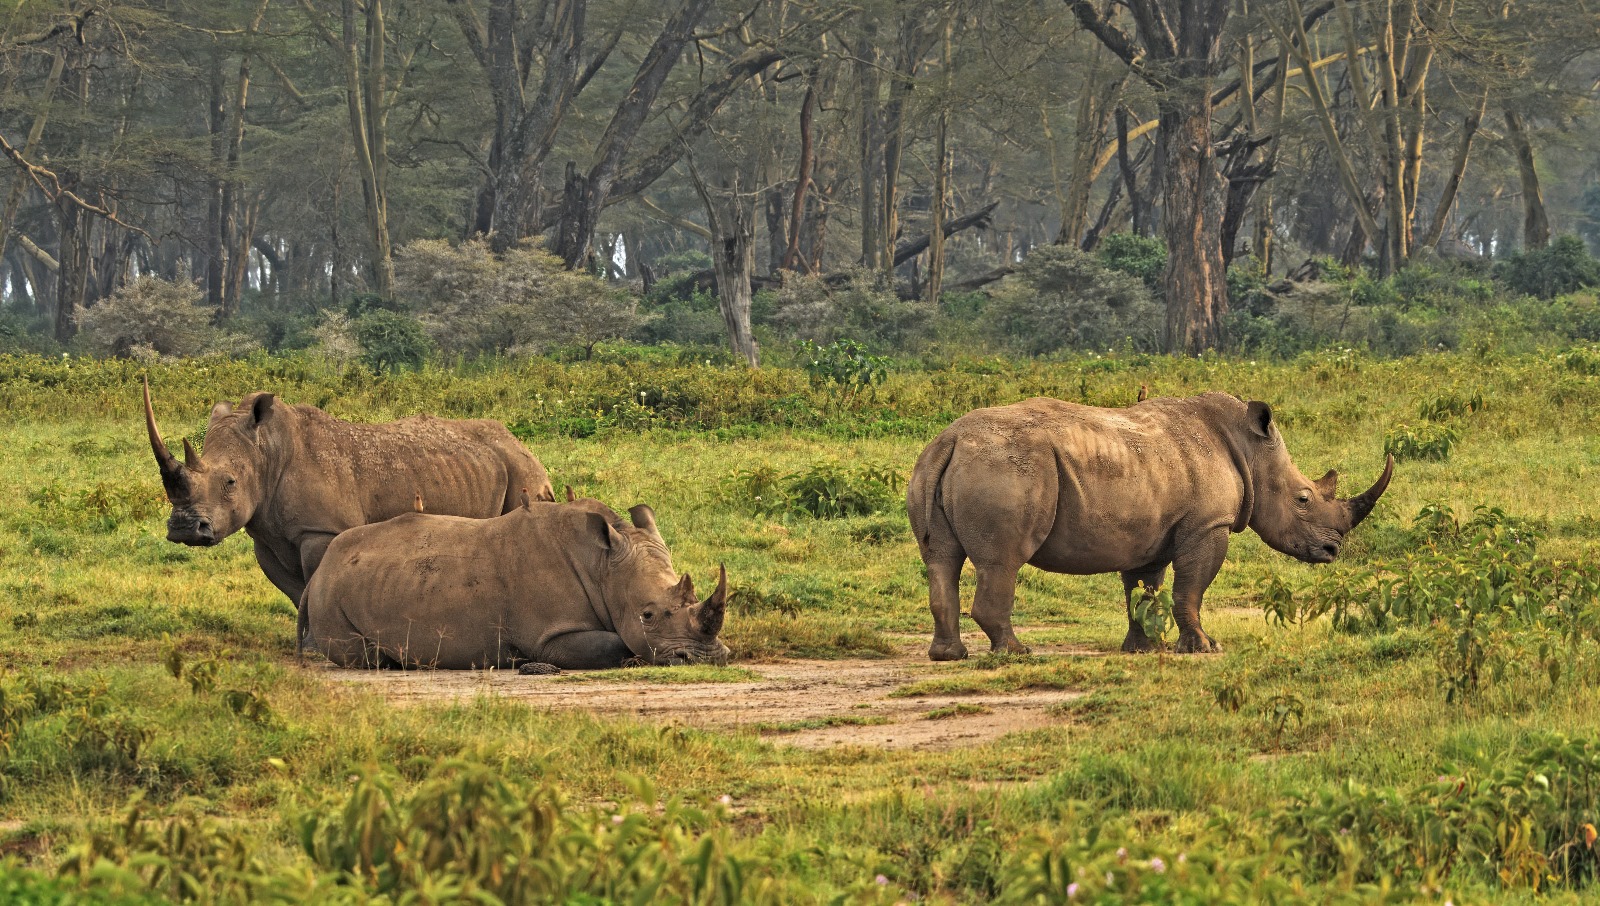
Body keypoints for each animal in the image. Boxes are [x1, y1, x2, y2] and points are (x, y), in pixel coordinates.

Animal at [142, 378, 555, 617]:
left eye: (229, 481)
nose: (184, 529)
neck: (267, 451)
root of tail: (518, 440)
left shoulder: (322, 531)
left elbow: (314, 582)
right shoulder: (267, 537)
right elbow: (295, 591)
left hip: (522, 468)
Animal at [302, 499, 730, 670]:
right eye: (649, 615)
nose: (708, 658)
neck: (603, 567)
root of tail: (321, 569)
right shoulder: (550, 635)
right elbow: (617, 643)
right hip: (329, 595)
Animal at [906, 393, 1392, 659]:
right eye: (1303, 500)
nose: (1332, 550)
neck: (1250, 450)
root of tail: (950, 440)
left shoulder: (1149, 533)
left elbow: (1144, 591)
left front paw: (1144, 649)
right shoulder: (1207, 526)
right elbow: (1190, 589)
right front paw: (1205, 647)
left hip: (934, 467)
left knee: (941, 560)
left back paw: (948, 656)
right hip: (1006, 470)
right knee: (1003, 562)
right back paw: (1016, 653)